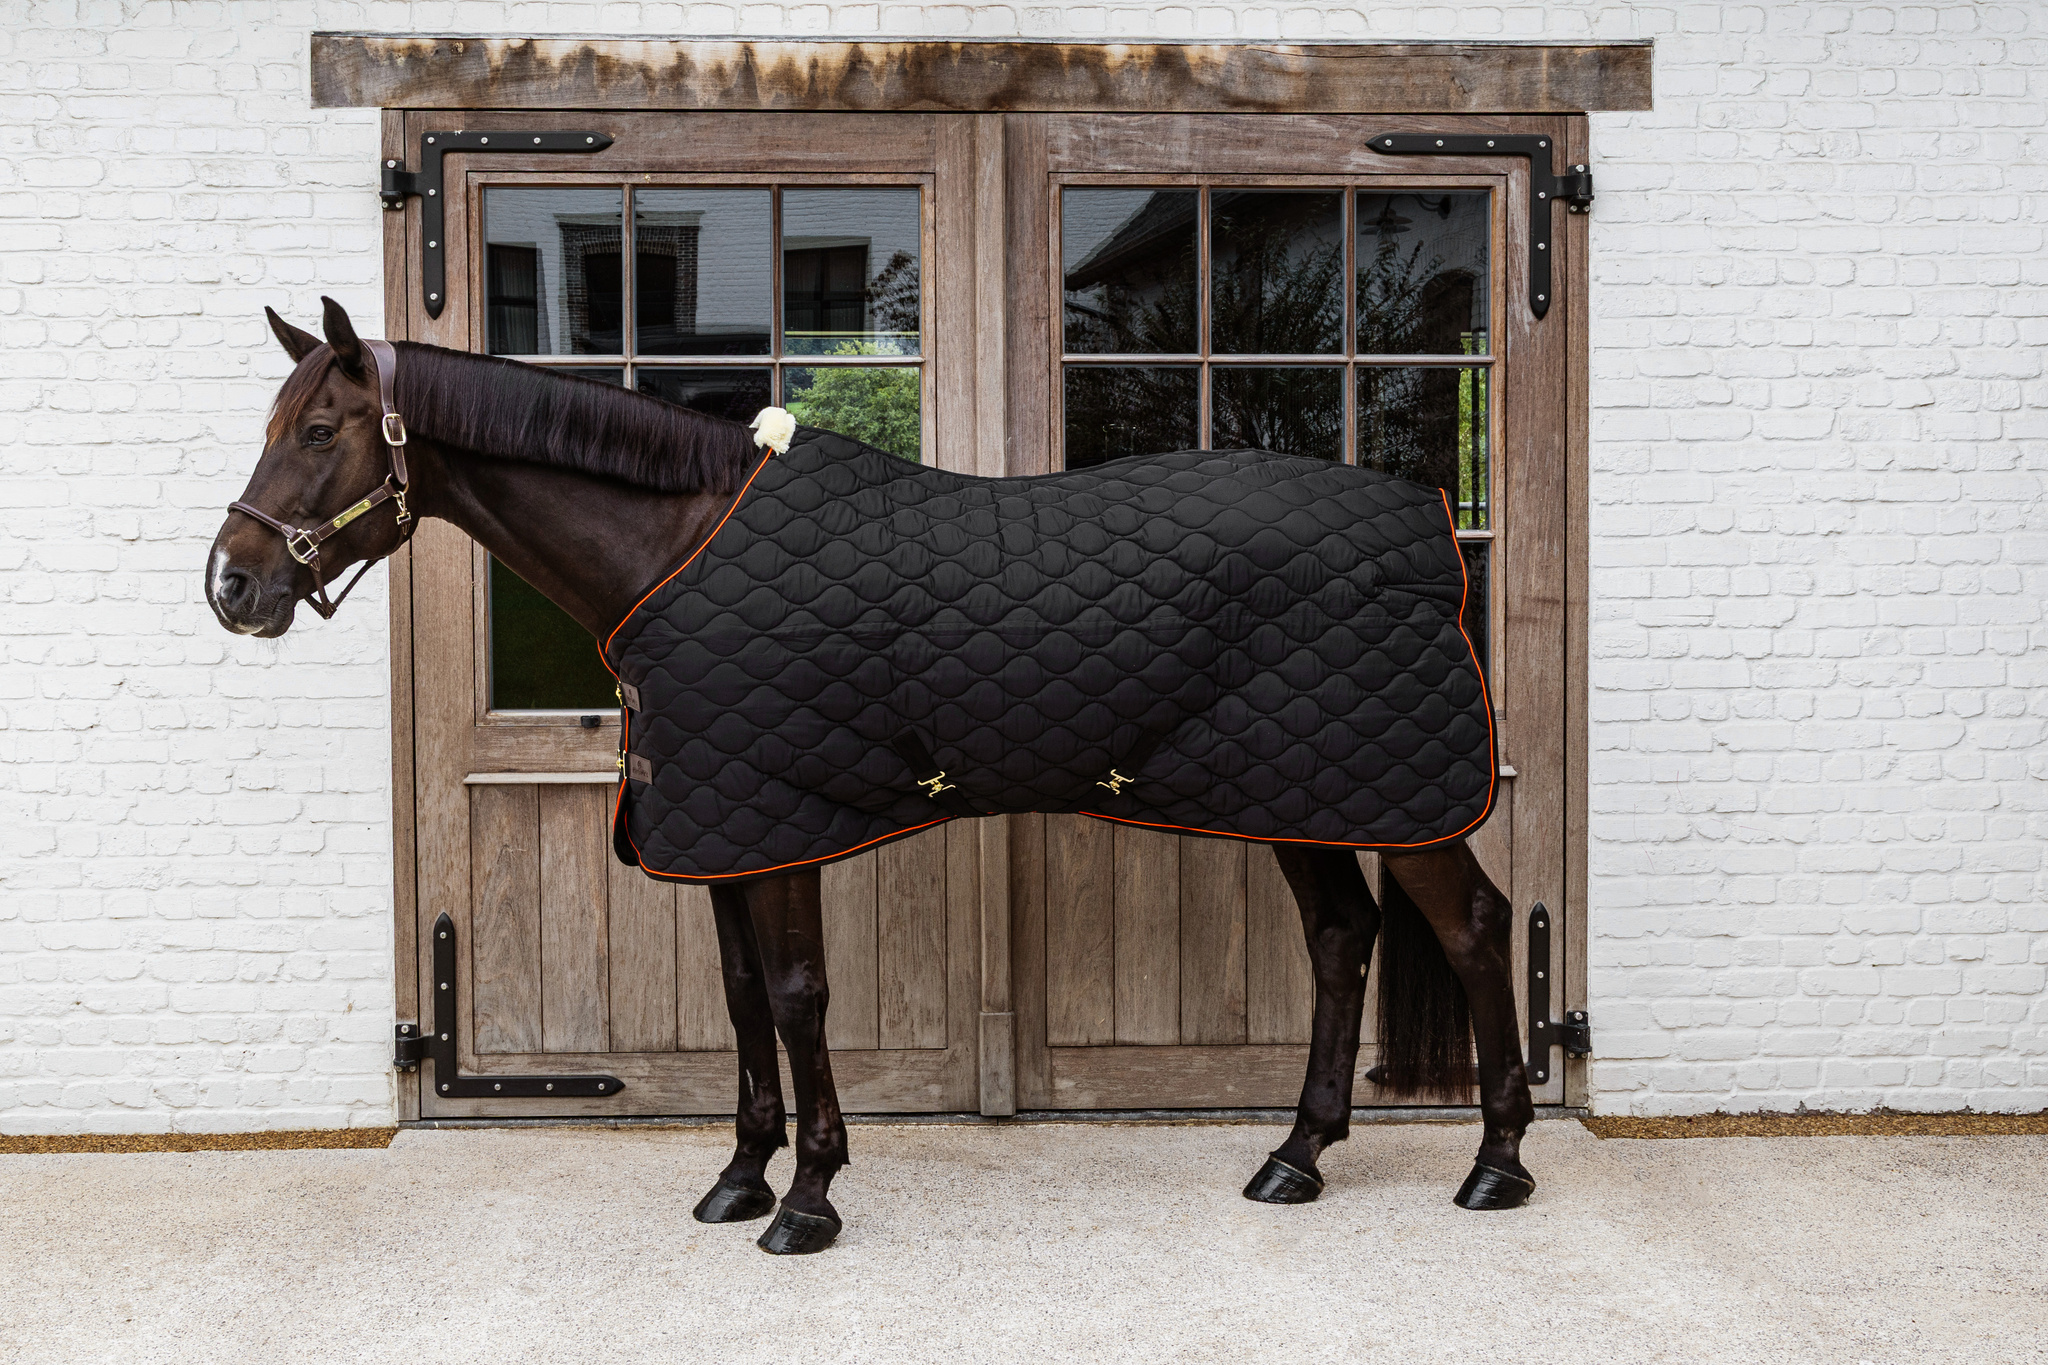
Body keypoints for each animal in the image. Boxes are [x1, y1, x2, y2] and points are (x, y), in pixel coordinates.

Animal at [208, 297, 1537, 1255]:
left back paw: (1495, 1166)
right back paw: (1295, 1158)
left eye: (318, 433)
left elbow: (799, 996)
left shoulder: (779, 822)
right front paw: (737, 1181)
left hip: (1389, 796)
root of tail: (1430, 525)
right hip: (1304, 791)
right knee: (1341, 938)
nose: (231, 586)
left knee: (1470, 926)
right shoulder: (720, 828)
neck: (679, 544)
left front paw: (807, 1200)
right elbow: (743, 997)